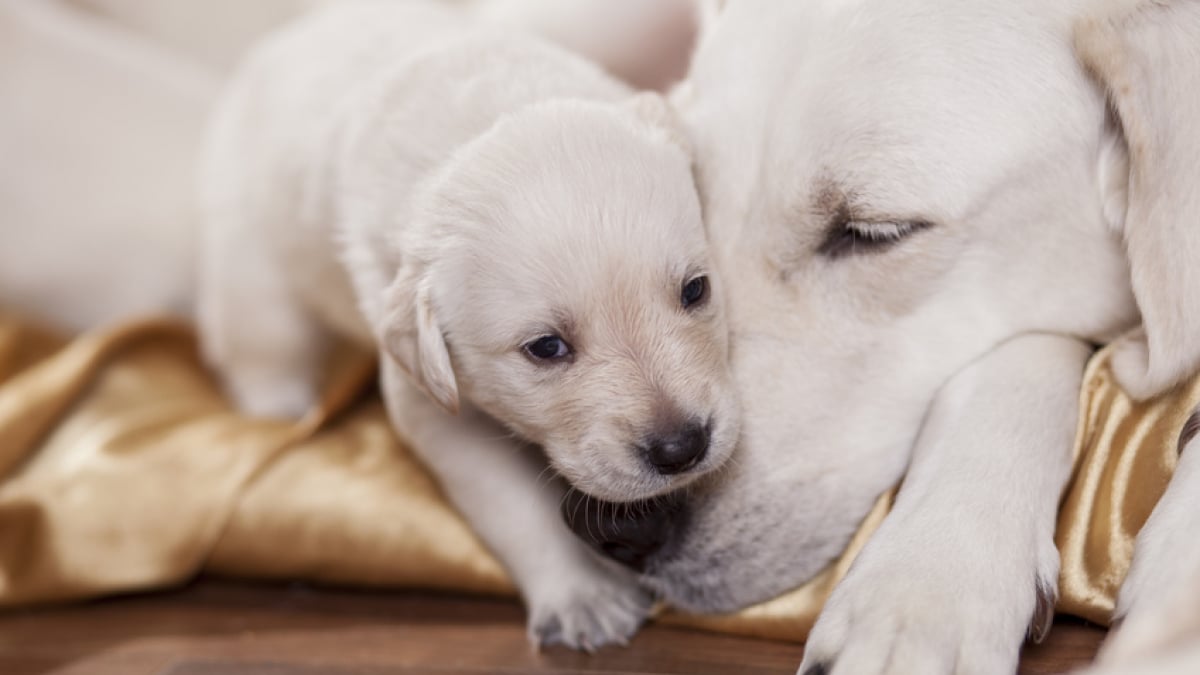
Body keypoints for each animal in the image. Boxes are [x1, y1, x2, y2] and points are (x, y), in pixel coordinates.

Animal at [196, 1, 739, 653]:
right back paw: (279, 407)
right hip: (252, 265)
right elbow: (513, 505)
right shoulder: (430, 401)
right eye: (546, 348)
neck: (479, 115)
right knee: (260, 345)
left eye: (695, 290)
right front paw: (581, 595)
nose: (682, 448)